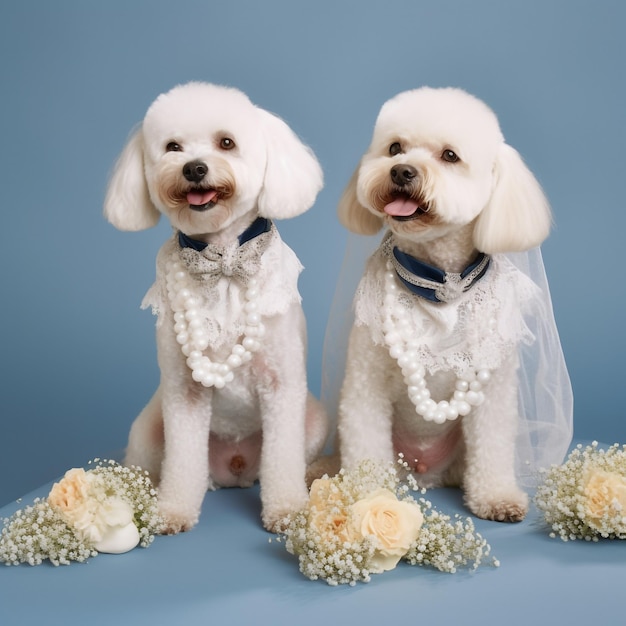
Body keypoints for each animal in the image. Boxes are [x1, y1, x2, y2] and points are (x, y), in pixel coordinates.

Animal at [102, 81, 326, 532]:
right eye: (172, 147)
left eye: (227, 142)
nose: (194, 168)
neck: (223, 260)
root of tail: (235, 470)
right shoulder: (183, 394)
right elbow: (182, 461)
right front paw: (172, 510)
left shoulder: (282, 387)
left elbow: (283, 459)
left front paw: (286, 509)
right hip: (147, 430)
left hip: (313, 420)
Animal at [336, 85, 552, 520]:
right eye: (394, 148)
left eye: (450, 156)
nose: (401, 171)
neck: (439, 285)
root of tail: (426, 474)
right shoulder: (365, 382)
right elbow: (365, 442)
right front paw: (369, 498)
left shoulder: (494, 393)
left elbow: (493, 444)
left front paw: (496, 496)